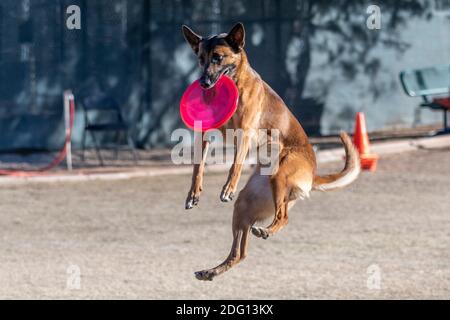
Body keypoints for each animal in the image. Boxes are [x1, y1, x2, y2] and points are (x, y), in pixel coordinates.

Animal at [181, 22, 360, 280]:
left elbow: (235, 165)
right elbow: (198, 167)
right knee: (240, 252)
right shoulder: (205, 134)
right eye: (200, 59)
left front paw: (227, 188)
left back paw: (266, 231)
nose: (204, 83)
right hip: (245, 204)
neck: (237, 81)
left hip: (279, 176)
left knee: (283, 217)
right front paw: (193, 194)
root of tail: (313, 173)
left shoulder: (245, 133)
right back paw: (211, 271)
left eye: (218, 57)